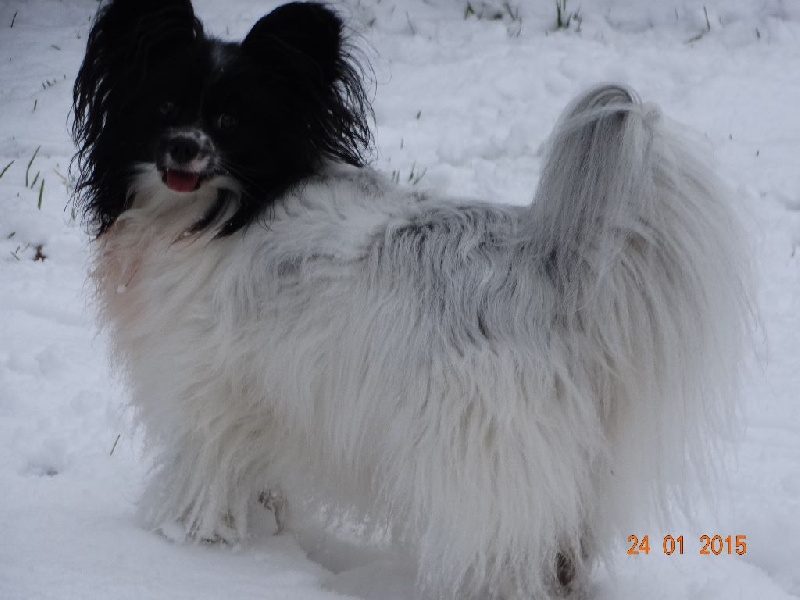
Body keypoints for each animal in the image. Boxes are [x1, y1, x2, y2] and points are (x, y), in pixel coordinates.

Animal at [72, 1, 752, 600]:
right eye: (163, 105)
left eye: (231, 122)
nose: (184, 147)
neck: (219, 215)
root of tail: (549, 265)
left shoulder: (211, 399)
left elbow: (205, 481)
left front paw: (190, 546)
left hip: (479, 459)